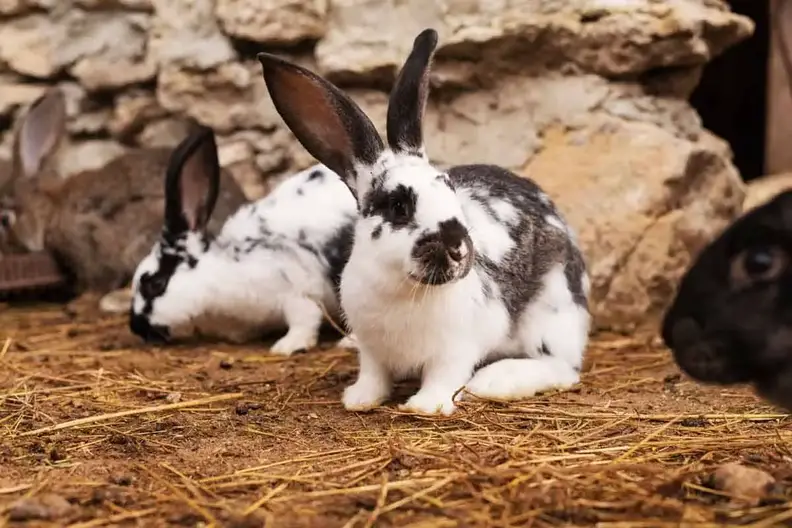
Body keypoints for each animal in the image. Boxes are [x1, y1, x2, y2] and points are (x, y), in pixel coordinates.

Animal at [256, 27, 592, 416]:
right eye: (398, 205)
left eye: (449, 189)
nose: (458, 248)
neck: (402, 286)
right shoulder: (372, 351)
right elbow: (373, 375)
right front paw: (359, 400)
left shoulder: (456, 349)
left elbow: (444, 377)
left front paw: (425, 406)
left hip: (552, 312)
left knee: (562, 367)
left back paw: (494, 381)